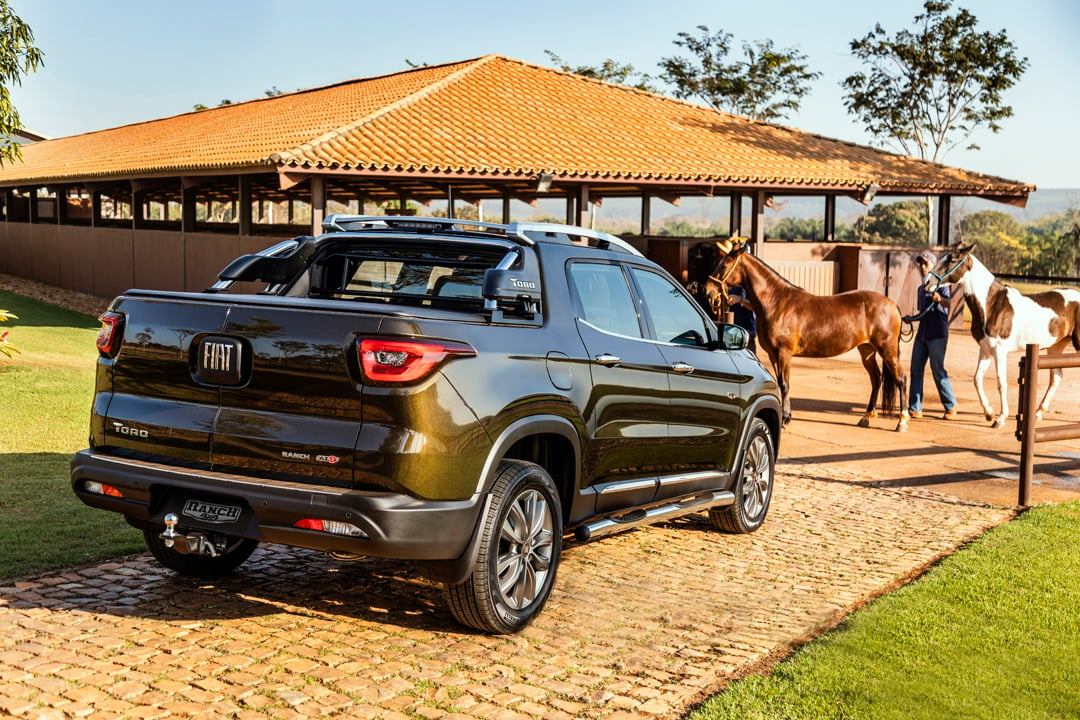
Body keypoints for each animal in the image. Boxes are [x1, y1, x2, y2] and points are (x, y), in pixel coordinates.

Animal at [712, 241, 907, 433]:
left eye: (724, 265)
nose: (709, 291)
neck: (777, 303)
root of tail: (892, 304)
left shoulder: (784, 353)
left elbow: (785, 384)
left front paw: (784, 419)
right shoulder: (773, 354)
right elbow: (780, 383)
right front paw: (785, 416)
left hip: (887, 349)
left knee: (901, 379)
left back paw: (902, 422)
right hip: (867, 349)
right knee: (876, 379)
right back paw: (866, 417)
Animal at [920, 245, 1080, 431]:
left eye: (952, 259)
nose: (926, 282)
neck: (992, 304)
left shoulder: (999, 351)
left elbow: (1001, 383)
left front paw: (1000, 419)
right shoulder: (985, 350)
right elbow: (977, 379)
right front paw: (989, 413)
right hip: (1056, 346)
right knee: (1056, 376)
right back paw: (1038, 412)